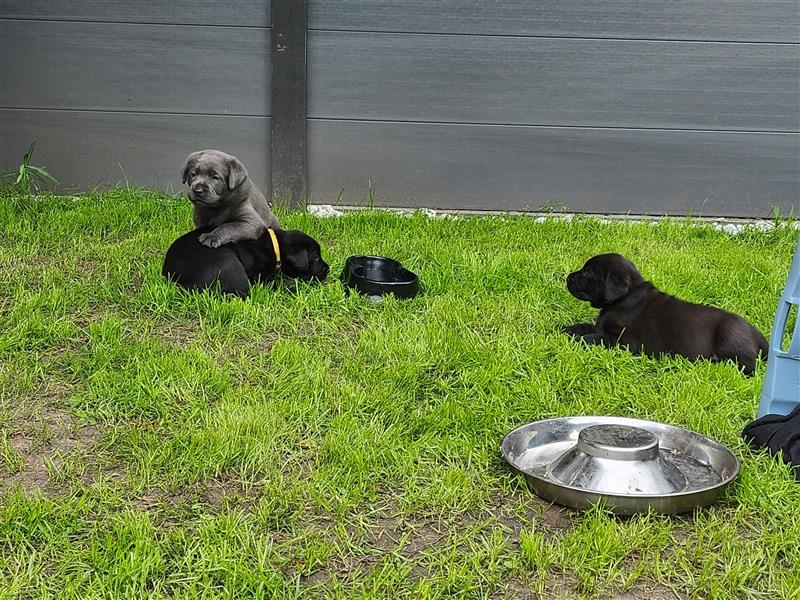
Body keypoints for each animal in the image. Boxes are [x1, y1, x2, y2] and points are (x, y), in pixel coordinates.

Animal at [162, 225, 328, 298]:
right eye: (315, 258)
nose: (328, 269)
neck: (275, 245)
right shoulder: (259, 276)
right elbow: (272, 283)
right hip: (230, 264)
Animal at [564, 253, 768, 376]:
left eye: (587, 271)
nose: (568, 277)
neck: (626, 297)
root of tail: (757, 334)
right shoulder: (601, 326)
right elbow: (587, 326)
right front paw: (567, 328)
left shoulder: (623, 342)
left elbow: (593, 338)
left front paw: (575, 338)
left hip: (730, 340)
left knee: (747, 368)